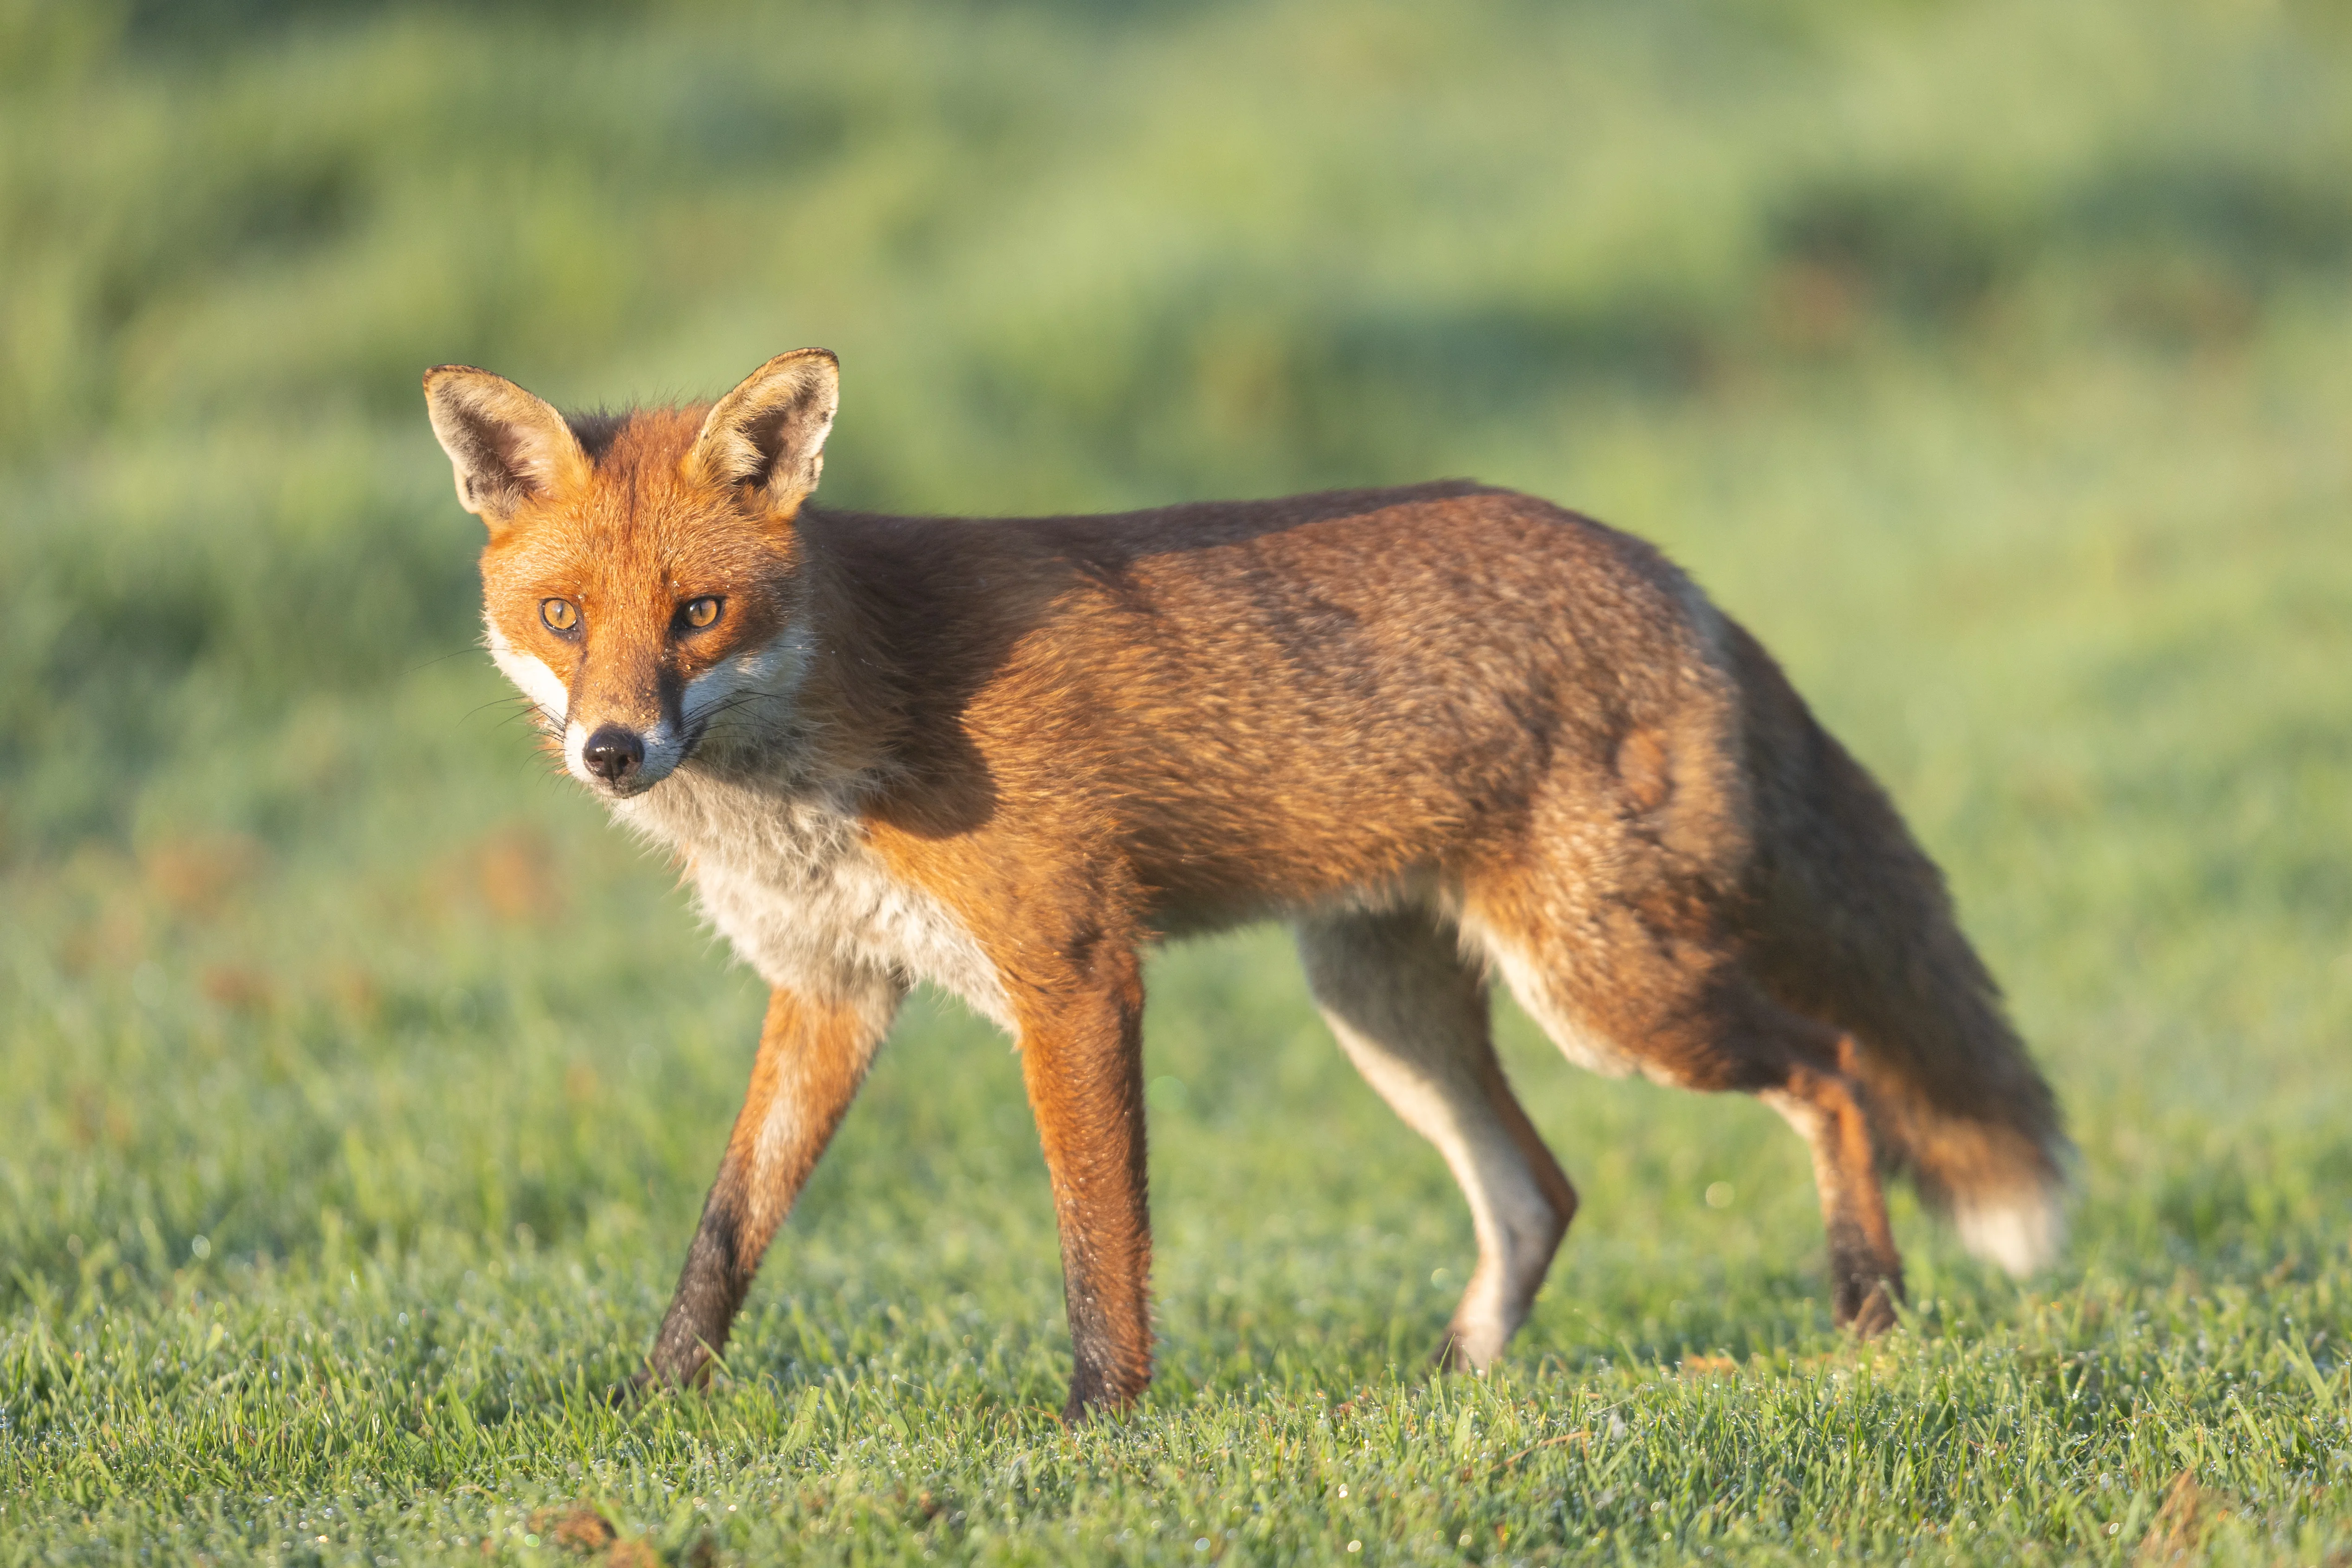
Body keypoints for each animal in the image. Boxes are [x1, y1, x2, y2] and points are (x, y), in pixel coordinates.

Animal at [423, 347, 2067, 1419]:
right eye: (564, 618)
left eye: (699, 613)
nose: (613, 750)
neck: (839, 726)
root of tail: (1683, 582)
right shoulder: (831, 988)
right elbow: (722, 1235)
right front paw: (651, 1410)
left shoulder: (1073, 970)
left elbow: (1100, 1241)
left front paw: (1097, 1429)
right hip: (1381, 1005)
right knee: (1538, 1191)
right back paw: (1443, 1393)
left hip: (1609, 994)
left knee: (1834, 1069)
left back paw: (1867, 1312)